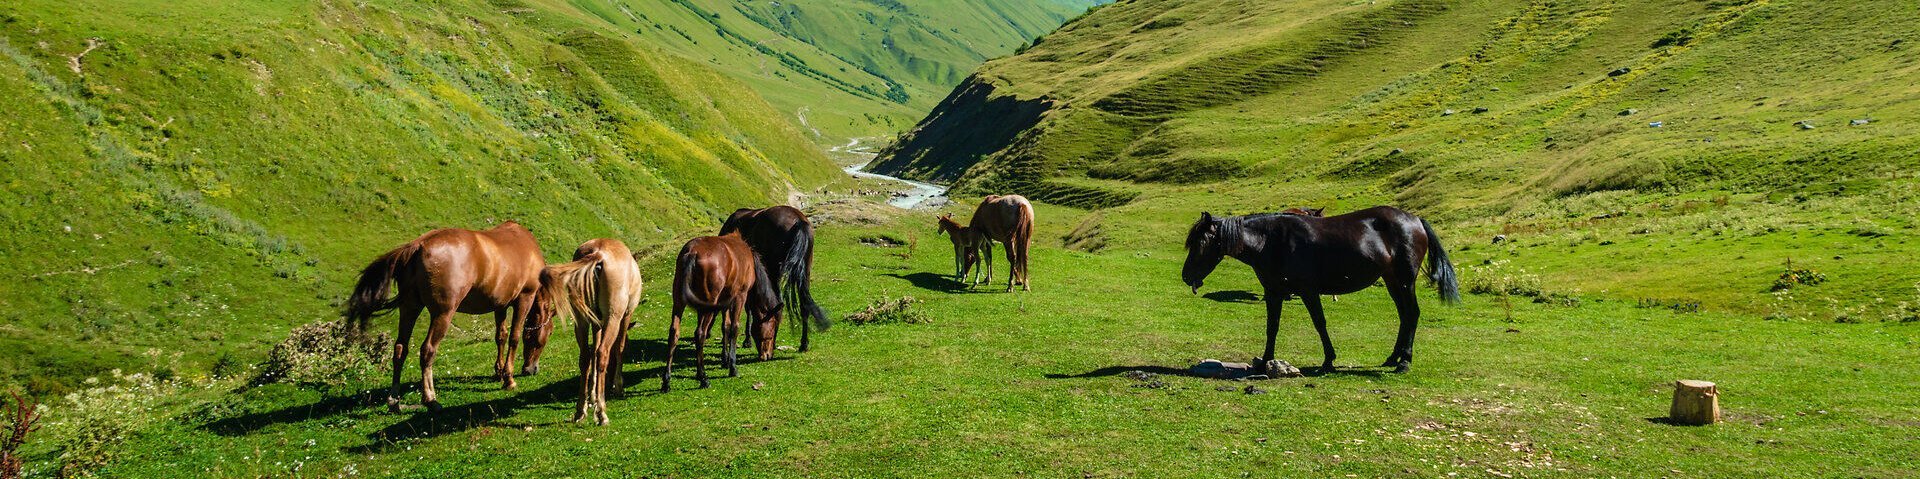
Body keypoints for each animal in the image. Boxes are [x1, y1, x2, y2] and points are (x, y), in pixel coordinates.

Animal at [346, 221, 544, 412]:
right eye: (539, 340)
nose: (531, 370)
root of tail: (418, 245)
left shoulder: (500, 304)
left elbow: (500, 337)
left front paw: (499, 372)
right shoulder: (525, 298)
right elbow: (514, 338)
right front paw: (509, 379)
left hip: (409, 308)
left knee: (400, 349)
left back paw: (394, 400)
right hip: (443, 314)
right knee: (427, 350)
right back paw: (430, 399)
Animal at [536, 239, 642, 425]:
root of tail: (598, 253)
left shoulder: (596, 322)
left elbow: (593, 351)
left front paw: (592, 395)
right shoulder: (625, 316)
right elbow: (619, 347)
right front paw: (618, 386)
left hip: (581, 320)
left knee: (586, 357)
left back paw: (580, 410)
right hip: (613, 316)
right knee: (603, 352)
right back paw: (601, 413)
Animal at [661, 233, 783, 392]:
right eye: (773, 328)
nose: (768, 355)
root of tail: (692, 252)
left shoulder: (725, 299)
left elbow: (725, 326)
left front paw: (724, 360)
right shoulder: (740, 296)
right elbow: (734, 328)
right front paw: (732, 367)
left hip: (679, 301)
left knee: (674, 333)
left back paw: (667, 381)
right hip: (708, 304)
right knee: (700, 334)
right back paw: (704, 379)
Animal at [718, 206, 830, 357]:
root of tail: (799, 220)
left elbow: (748, 308)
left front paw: (747, 340)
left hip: (774, 270)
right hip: (804, 270)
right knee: (802, 305)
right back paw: (803, 344)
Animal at [1180, 207, 1460, 373]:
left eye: (1201, 242)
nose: (1186, 276)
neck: (1271, 242)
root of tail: (1415, 220)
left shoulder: (1308, 291)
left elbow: (1320, 323)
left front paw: (1328, 361)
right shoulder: (1273, 293)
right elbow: (1272, 327)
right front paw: (1265, 361)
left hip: (1405, 281)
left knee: (1411, 314)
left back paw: (1404, 362)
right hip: (1392, 281)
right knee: (1404, 316)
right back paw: (1393, 358)